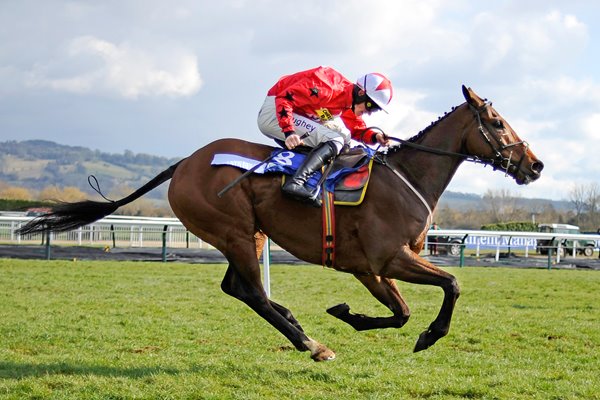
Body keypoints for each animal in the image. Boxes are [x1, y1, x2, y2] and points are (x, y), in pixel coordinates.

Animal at [17, 86, 544, 360]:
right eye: (497, 123)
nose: (535, 165)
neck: (406, 178)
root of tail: (185, 162)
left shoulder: (368, 267)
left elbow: (401, 312)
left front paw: (348, 314)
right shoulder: (386, 259)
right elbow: (448, 286)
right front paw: (426, 335)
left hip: (246, 234)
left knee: (240, 289)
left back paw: (299, 326)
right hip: (231, 229)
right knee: (251, 292)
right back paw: (310, 342)